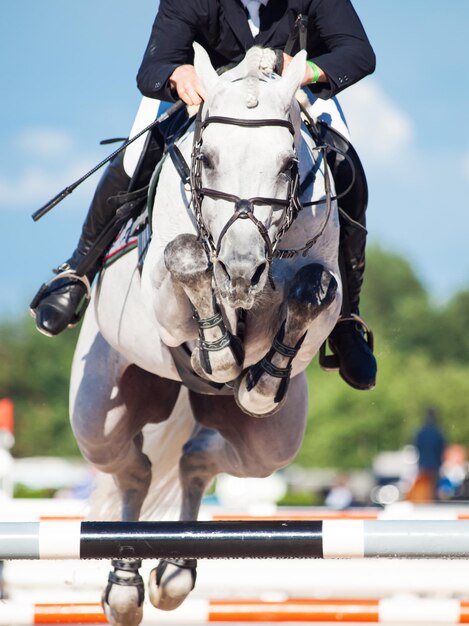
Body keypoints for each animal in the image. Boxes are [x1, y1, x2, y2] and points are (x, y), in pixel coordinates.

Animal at [69, 45, 340, 624]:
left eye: (288, 165)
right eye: (208, 158)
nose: (239, 273)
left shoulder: (313, 300)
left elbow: (312, 290)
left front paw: (259, 376)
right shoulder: (162, 302)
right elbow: (186, 257)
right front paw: (218, 352)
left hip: (270, 446)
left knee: (196, 456)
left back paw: (174, 572)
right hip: (100, 408)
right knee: (132, 468)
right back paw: (125, 587)